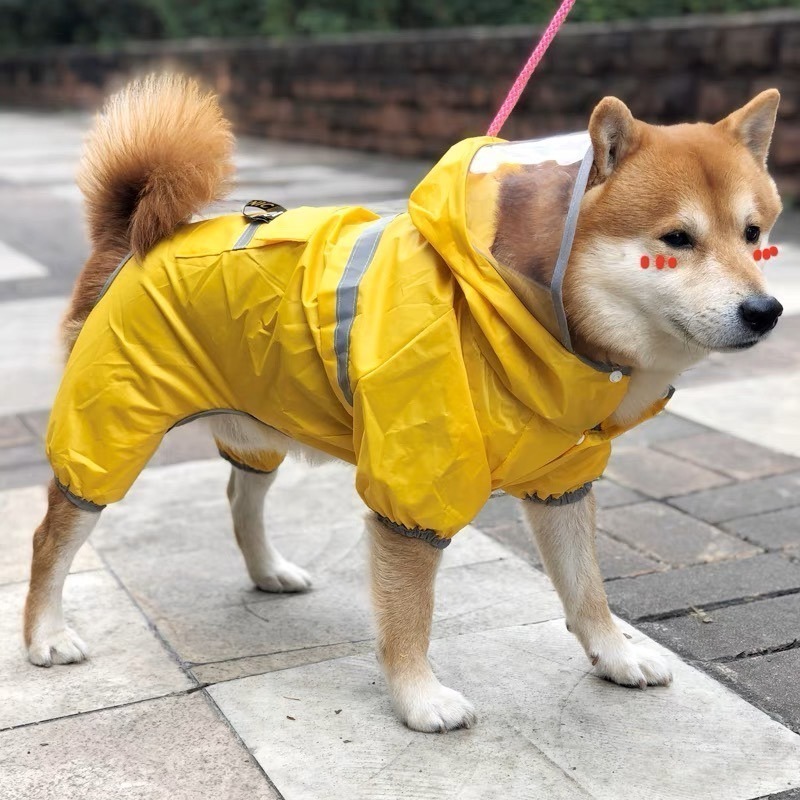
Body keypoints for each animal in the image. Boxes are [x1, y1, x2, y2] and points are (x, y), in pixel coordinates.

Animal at [23, 75, 780, 732]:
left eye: (753, 235)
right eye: (676, 239)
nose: (767, 311)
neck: (512, 311)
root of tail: (131, 236)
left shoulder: (562, 483)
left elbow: (587, 589)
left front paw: (616, 656)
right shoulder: (414, 491)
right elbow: (410, 613)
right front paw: (419, 699)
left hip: (260, 425)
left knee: (242, 500)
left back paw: (268, 572)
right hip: (111, 426)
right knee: (54, 533)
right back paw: (45, 635)